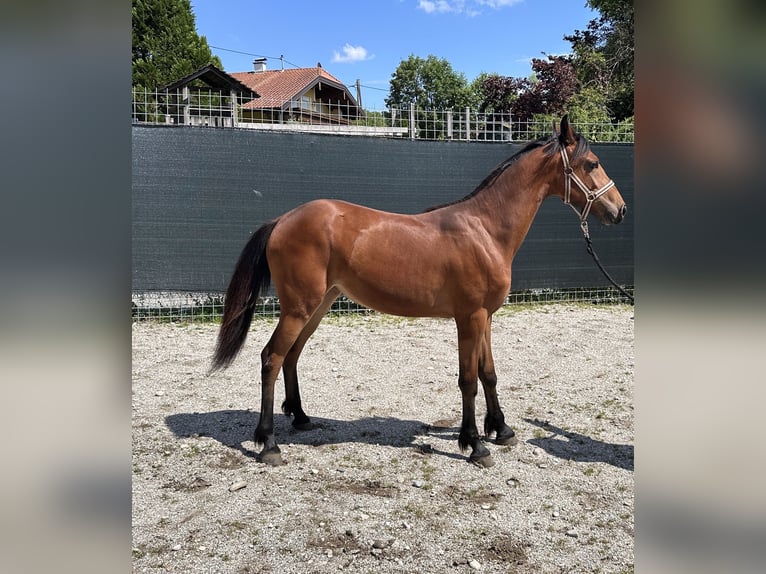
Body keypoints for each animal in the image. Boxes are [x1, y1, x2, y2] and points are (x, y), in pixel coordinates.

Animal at [213, 116, 628, 468]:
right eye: (591, 163)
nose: (619, 210)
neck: (485, 230)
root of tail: (282, 219)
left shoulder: (486, 317)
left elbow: (489, 373)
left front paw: (501, 430)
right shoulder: (469, 317)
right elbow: (467, 380)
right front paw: (474, 444)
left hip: (317, 306)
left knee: (292, 355)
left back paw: (300, 417)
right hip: (299, 308)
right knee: (271, 358)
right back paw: (268, 443)